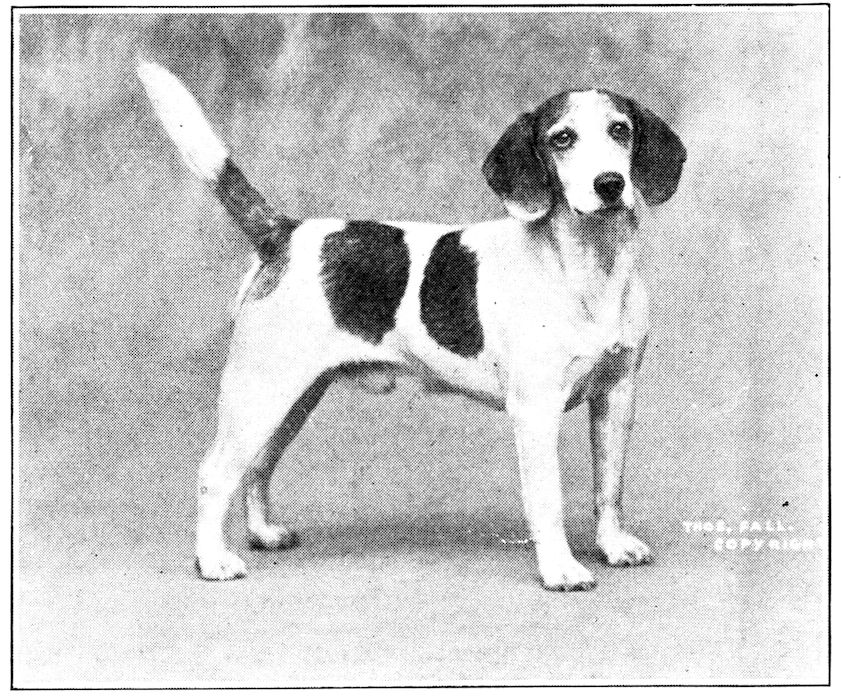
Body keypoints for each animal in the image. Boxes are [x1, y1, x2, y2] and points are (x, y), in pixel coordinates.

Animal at [138, 61, 685, 591]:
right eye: (563, 138)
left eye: (620, 130)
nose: (610, 184)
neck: (588, 267)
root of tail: (284, 234)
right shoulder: (536, 410)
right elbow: (547, 500)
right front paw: (560, 570)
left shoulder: (616, 395)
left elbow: (609, 485)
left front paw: (613, 546)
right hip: (260, 393)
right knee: (215, 474)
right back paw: (212, 561)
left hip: (294, 398)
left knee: (258, 465)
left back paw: (264, 534)